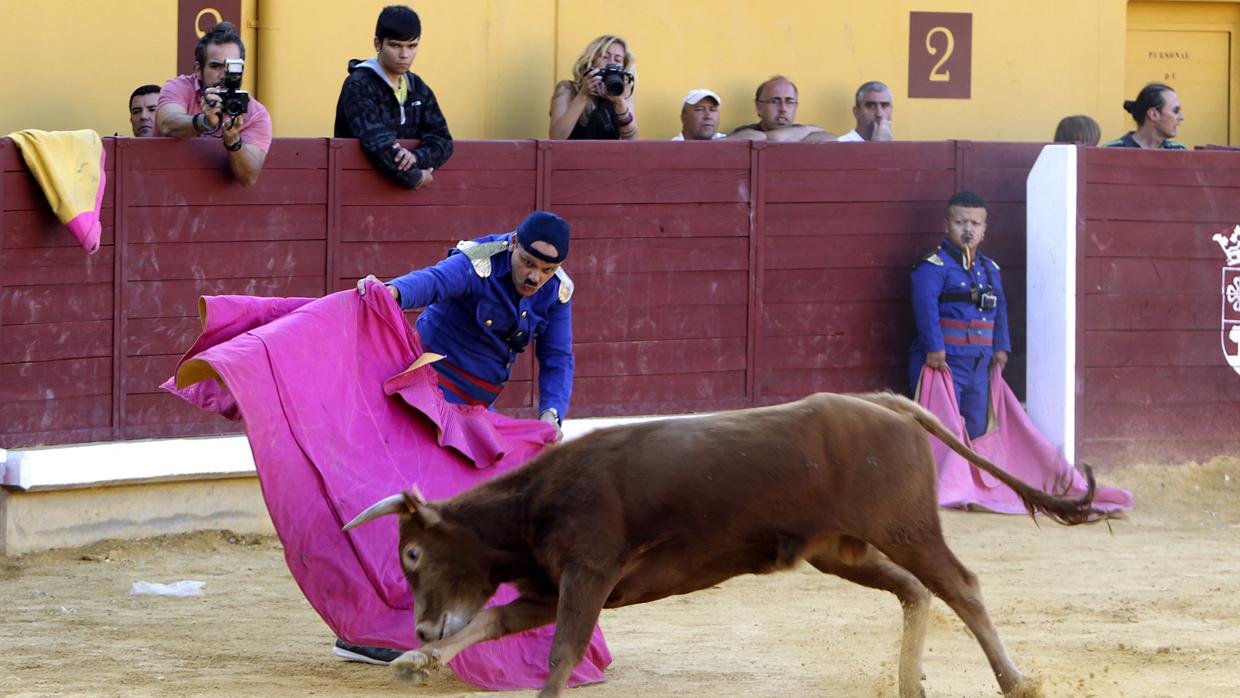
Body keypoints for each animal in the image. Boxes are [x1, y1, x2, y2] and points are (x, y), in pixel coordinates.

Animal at [342, 394, 1106, 698]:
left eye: (411, 555)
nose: (419, 627)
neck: (535, 502)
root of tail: (885, 402)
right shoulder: (551, 587)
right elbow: (495, 621)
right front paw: (416, 661)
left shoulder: (588, 574)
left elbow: (560, 651)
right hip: (841, 550)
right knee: (917, 590)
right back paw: (907, 682)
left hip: (906, 527)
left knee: (961, 587)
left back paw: (1016, 680)